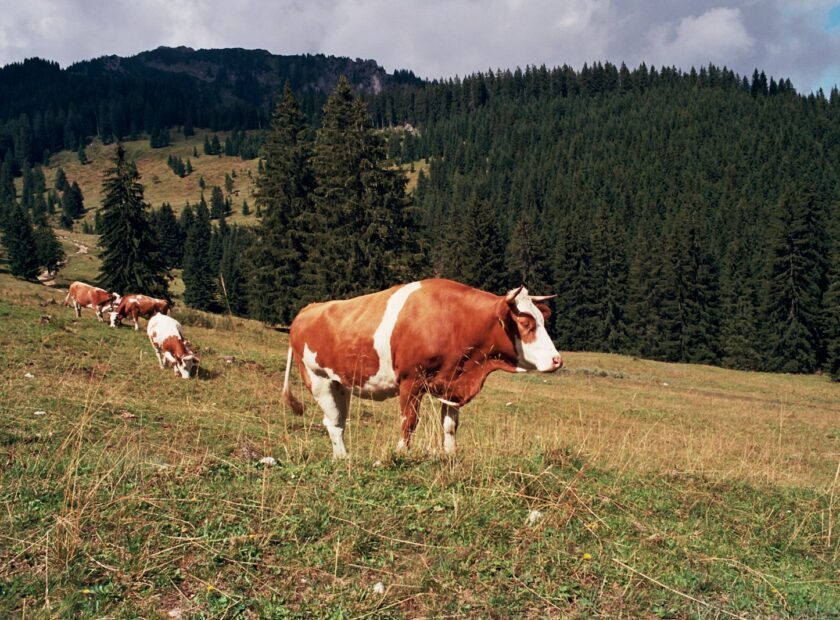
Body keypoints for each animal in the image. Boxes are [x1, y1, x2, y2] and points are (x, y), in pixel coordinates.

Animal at [282, 279, 562, 458]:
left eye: (542, 319)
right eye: (526, 323)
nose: (557, 360)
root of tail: (308, 309)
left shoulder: (452, 383)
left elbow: (450, 425)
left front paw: (450, 454)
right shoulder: (411, 380)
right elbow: (409, 421)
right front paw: (400, 454)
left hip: (340, 383)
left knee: (338, 420)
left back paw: (342, 456)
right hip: (317, 379)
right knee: (332, 421)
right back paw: (342, 457)